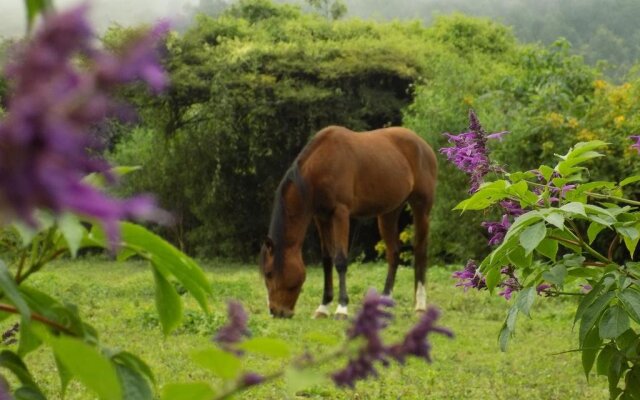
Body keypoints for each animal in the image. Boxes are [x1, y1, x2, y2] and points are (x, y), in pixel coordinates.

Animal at [258, 125, 436, 318]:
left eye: (269, 273)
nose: (276, 311)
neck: (319, 168)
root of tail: (423, 145)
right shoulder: (321, 217)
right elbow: (327, 260)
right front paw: (323, 307)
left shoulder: (340, 214)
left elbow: (341, 260)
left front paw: (341, 308)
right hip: (389, 212)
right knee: (393, 253)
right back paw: (385, 301)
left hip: (421, 207)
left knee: (420, 251)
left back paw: (420, 305)